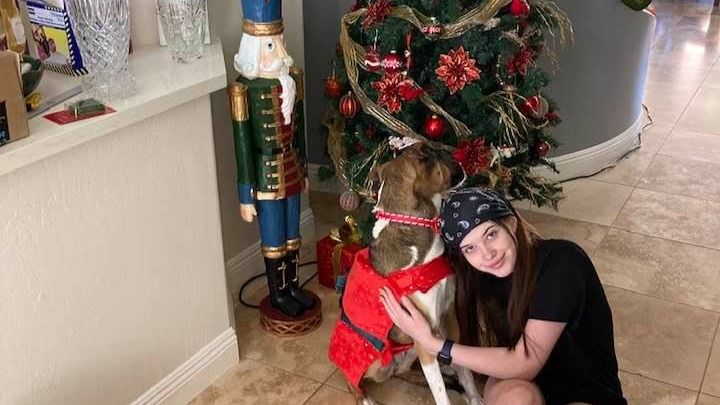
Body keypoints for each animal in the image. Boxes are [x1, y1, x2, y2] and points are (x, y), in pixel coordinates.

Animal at [328, 142, 482, 405]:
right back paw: (364, 398)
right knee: (353, 381)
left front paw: (475, 398)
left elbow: (466, 373)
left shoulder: (449, 317)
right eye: (435, 154)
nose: (461, 157)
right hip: (378, 364)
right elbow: (441, 394)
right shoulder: (422, 333)